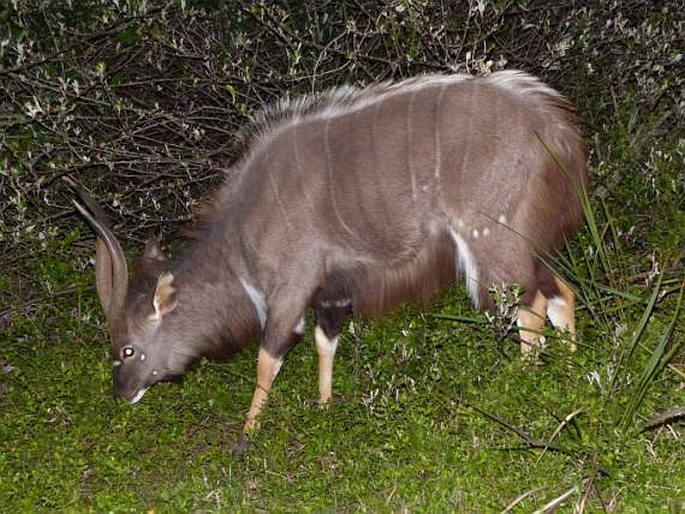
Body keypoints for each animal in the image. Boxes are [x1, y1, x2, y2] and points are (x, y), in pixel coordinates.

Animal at [73, 70, 588, 450]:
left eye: (127, 349)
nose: (120, 394)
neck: (242, 231)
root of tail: (556, 129)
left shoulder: (291, 286)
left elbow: (269, 355)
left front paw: (246, 437)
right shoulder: (333, 292)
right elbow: (326, 342)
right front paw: (324, 409)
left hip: (490, 244)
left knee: (528, 306)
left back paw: (520, 388)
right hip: (522, 242)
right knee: (560, 290)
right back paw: (571, 374)